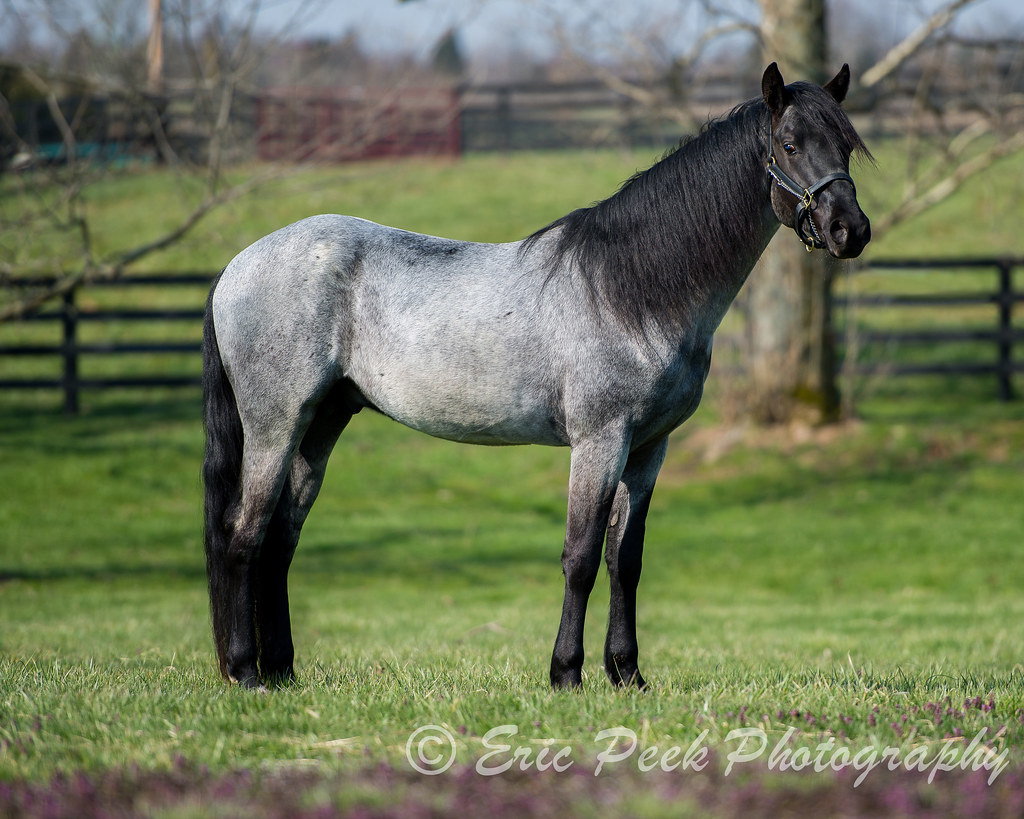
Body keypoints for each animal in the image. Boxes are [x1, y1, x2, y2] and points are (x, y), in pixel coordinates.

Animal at [203, 63, 872, 690]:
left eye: (845, 145)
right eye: (789, 144)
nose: (851, 231)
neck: (632, 290)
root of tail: (235, 268)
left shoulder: (648, 449)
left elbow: (625, 560)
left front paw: (627, 675)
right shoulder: (599, 442)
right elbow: (580, 556)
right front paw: (566, 673)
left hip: (322, 424)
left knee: (279, 542)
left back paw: (282, 671)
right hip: (275, 425)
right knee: (243, 535)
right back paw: (246, 673)